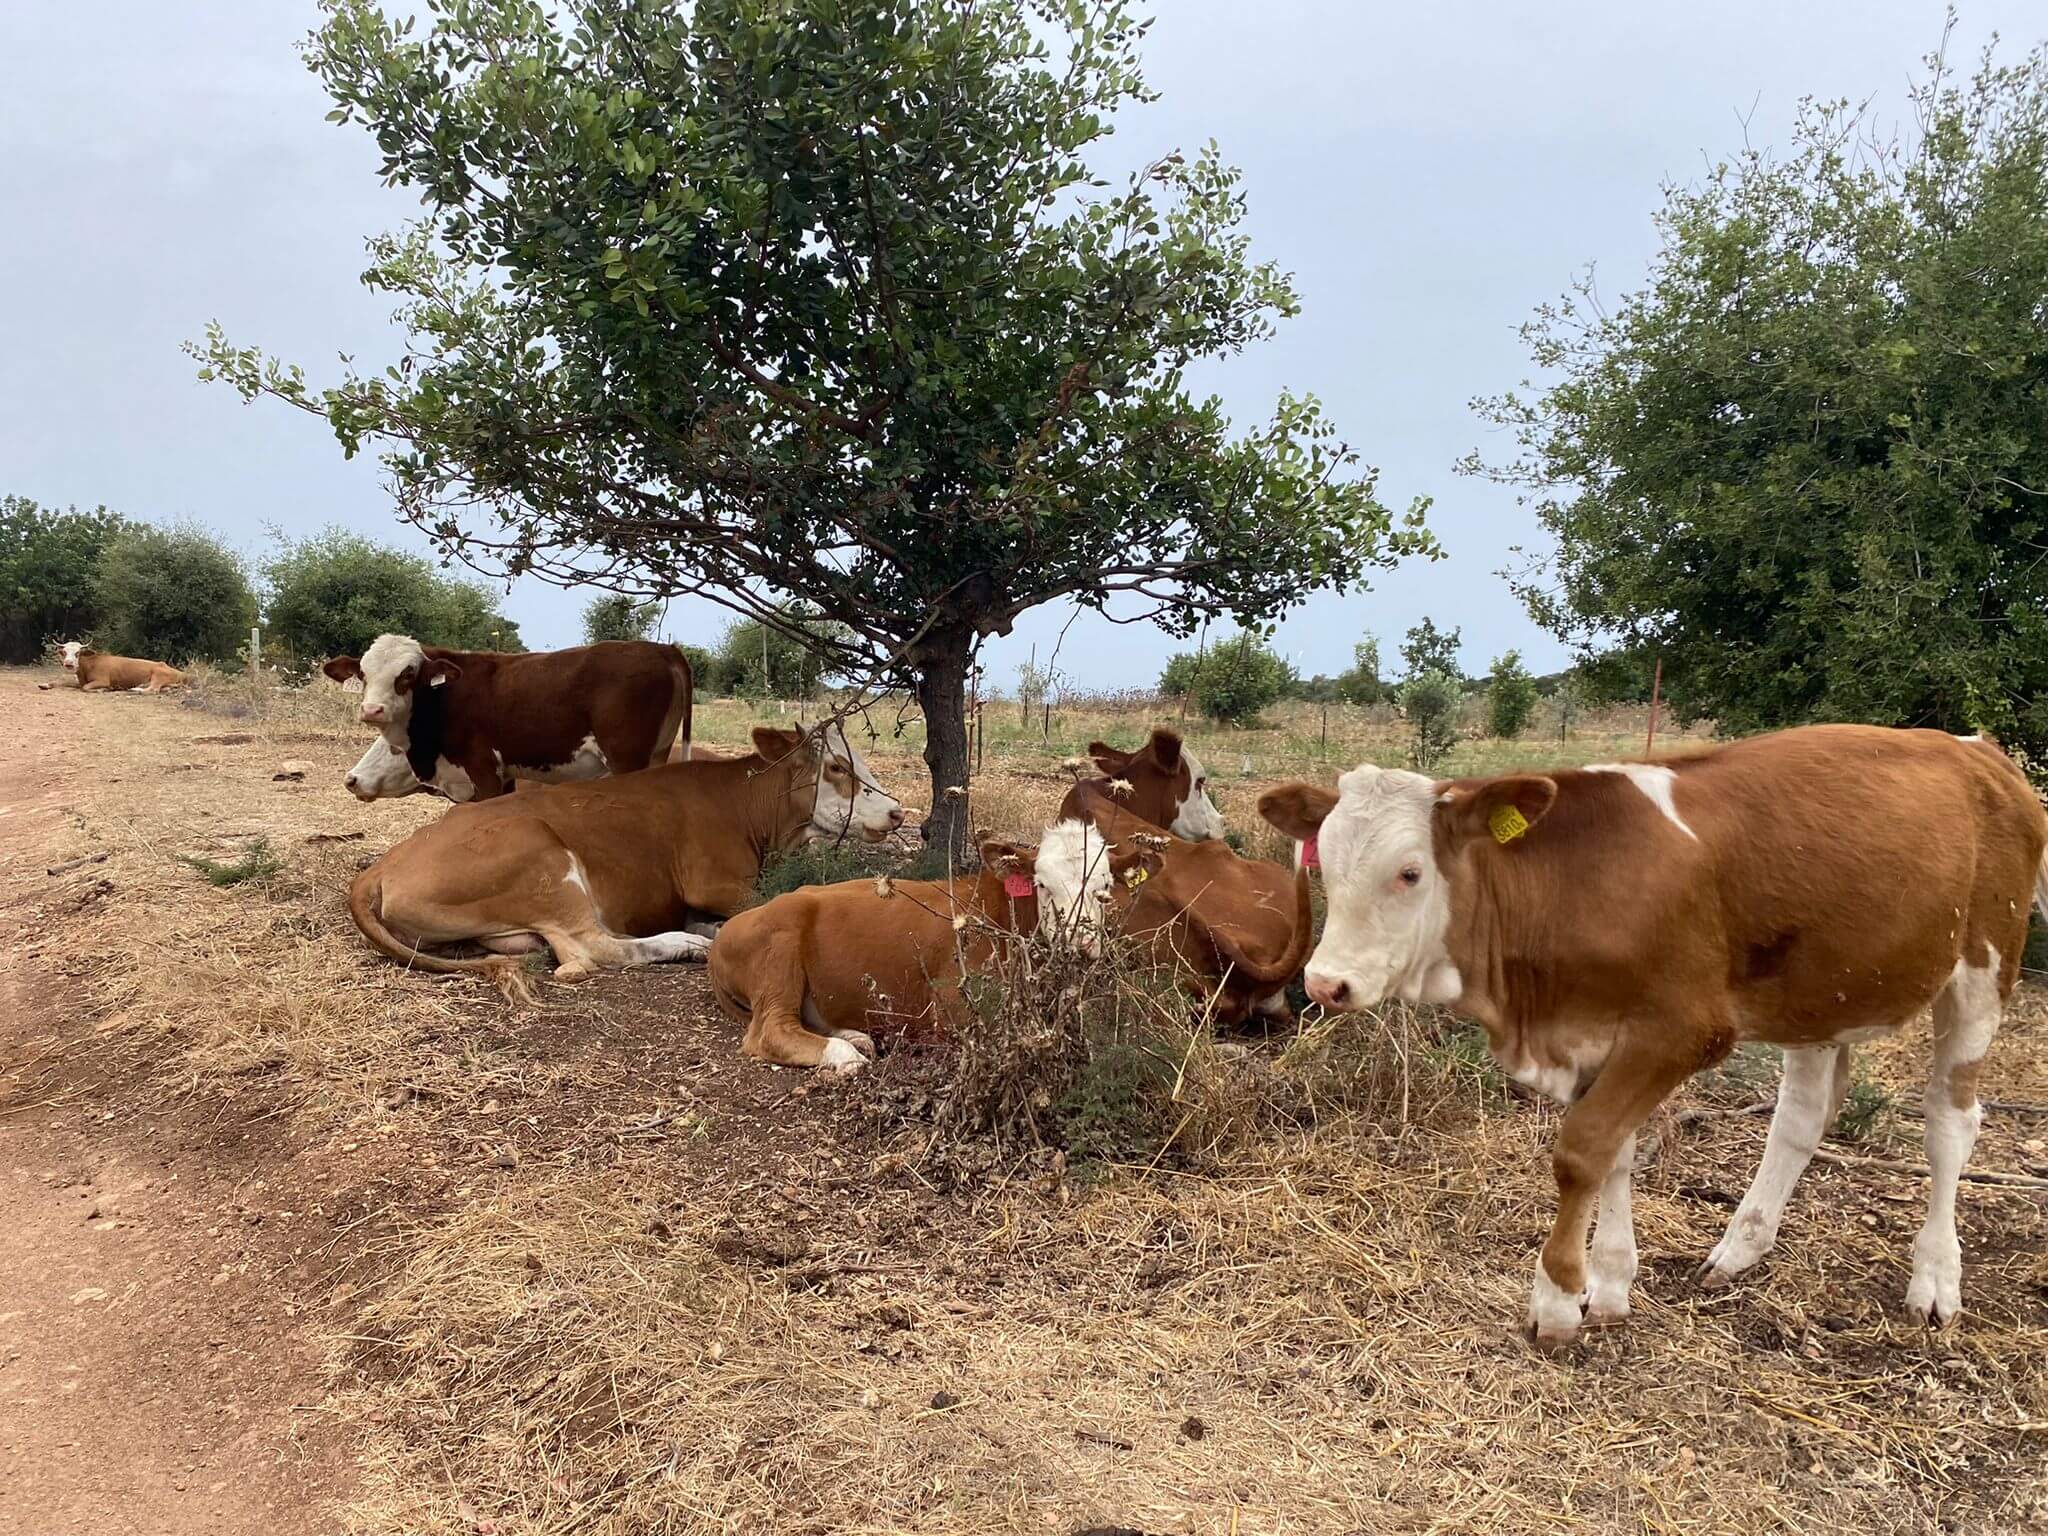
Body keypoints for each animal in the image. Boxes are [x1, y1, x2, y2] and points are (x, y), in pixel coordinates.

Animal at [327, 638, 692, 806]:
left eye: (408, 673)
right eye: (363, 673)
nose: (372, 710)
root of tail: (662, 649)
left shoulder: (483, 771)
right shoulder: (505, 776)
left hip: (626, 760)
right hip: (658, 755)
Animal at [348, 724, 901, 987]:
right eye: (837, 767)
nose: (897, 811)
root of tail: (381, 866)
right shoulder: (718, 881)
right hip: (545, 861)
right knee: (590, 951)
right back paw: (685, 943)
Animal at [696, 823, 1130, 1073]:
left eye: (1105, 888)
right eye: (1042, 884)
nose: (1081, 943)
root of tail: (724, 934)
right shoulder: (952, 1006)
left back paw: (854, 1036)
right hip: (780, 947)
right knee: (771, 1029)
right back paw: (845, 1055)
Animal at [1261, 729, 2048, 1351]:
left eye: (1410, 872)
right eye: (1326, 863)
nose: (1326, 983)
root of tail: (1978, 750)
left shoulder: (1681, 1031)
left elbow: (1583, 1150)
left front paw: (1557, 1302)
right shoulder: (1593, 1036)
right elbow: (1614, 1152)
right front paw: (1609, 1284)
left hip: (1985, 963)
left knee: (1950, 1124)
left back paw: (1935, 1278)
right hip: (1822, 991)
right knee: (1801, 1117)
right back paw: (1740, 1246)